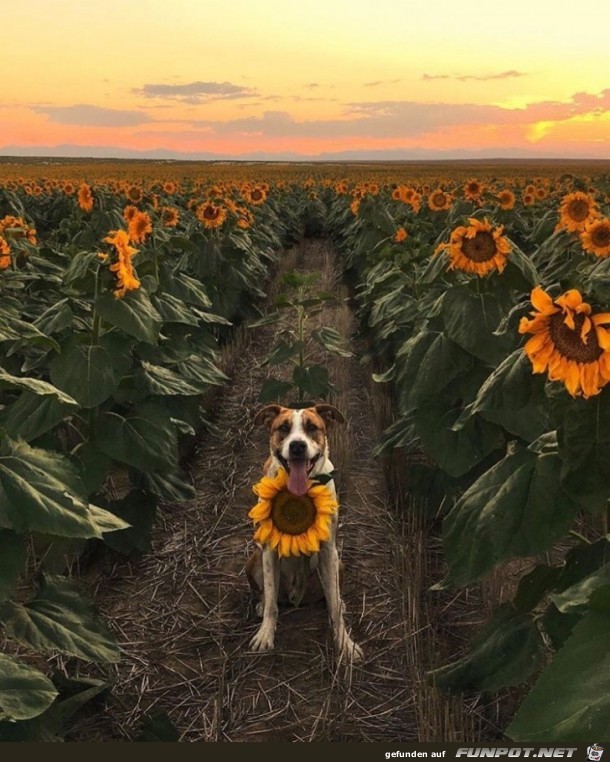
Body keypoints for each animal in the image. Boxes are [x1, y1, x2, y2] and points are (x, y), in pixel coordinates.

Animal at [246, 404, 364, 660]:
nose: (297, 446)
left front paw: (345, 643)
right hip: (254, 560)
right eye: (283, 428)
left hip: (338, 564)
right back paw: (261, 604)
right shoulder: (268, 551)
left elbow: (334, 608)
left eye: (312, 427)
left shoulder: (328, 550)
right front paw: (265, 635)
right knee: (267, 594)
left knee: (332, 596)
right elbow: (271, 602)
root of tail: (296, 597)